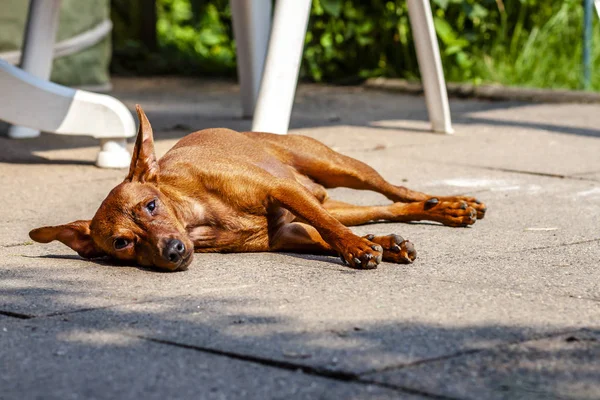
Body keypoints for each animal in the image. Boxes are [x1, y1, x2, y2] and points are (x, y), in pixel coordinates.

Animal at [30, 104, 486, 270]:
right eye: (122, 243)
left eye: (151, 206)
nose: (173, 252)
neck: (199, 216)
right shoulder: (289, 233)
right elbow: (326, 236)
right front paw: (380, 246)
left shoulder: (283, 193)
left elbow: (331, 232)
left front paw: (359, 249)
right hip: (337, 198)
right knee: (382, 210)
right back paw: (431, 214)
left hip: (338, 167)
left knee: (396, 191)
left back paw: (452, 204)